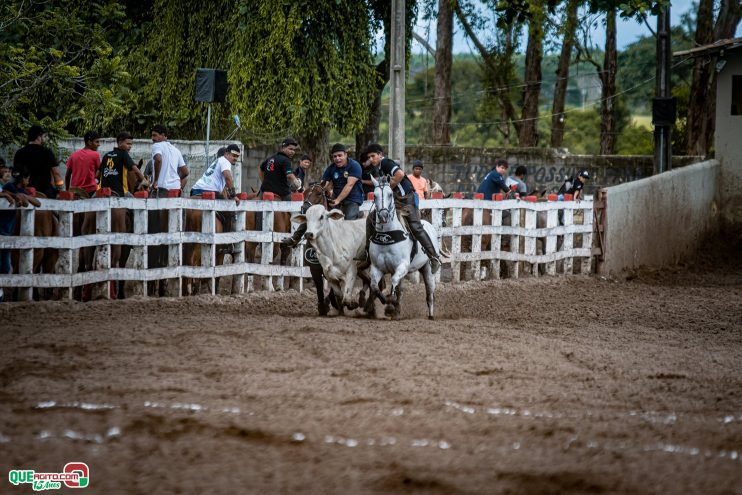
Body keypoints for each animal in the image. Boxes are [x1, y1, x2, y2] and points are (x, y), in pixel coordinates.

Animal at [366, 176, 442, 320]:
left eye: (390, 194)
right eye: (375, 195)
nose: (383, 216)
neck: (387, 237)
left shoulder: (403, 266)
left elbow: (394, 282)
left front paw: (390, 305)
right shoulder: (377, 267)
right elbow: (375, 287)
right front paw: (388, 303)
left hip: (428, 270)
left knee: (430, 293)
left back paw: (430, 314)